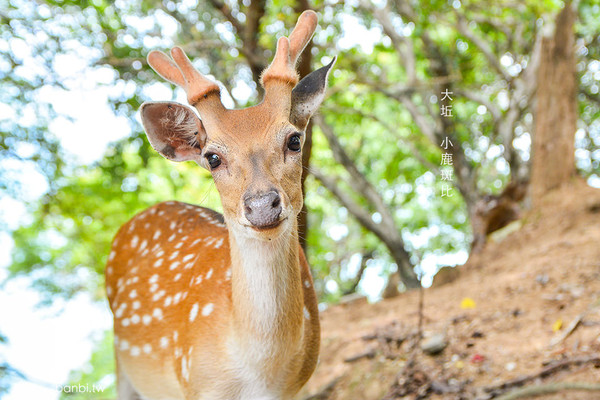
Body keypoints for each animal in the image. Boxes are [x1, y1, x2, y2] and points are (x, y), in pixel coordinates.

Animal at [105, 9, 336, 400]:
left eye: (293, 140)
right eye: (213, 157)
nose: (262, 205)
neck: (260, 373)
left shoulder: (297, 387)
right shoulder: (196, 383)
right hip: (125, 365)